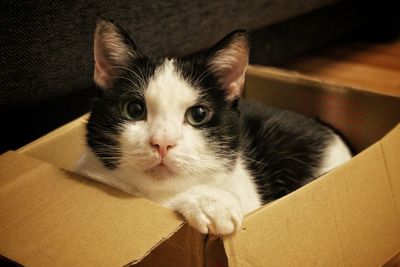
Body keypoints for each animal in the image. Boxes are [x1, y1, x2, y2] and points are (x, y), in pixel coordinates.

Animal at [75, 19, 350, 237]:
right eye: (134, 109)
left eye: (198, 115)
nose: (162, 143)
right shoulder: (89, 171)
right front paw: (211, 202)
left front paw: (212, 202)